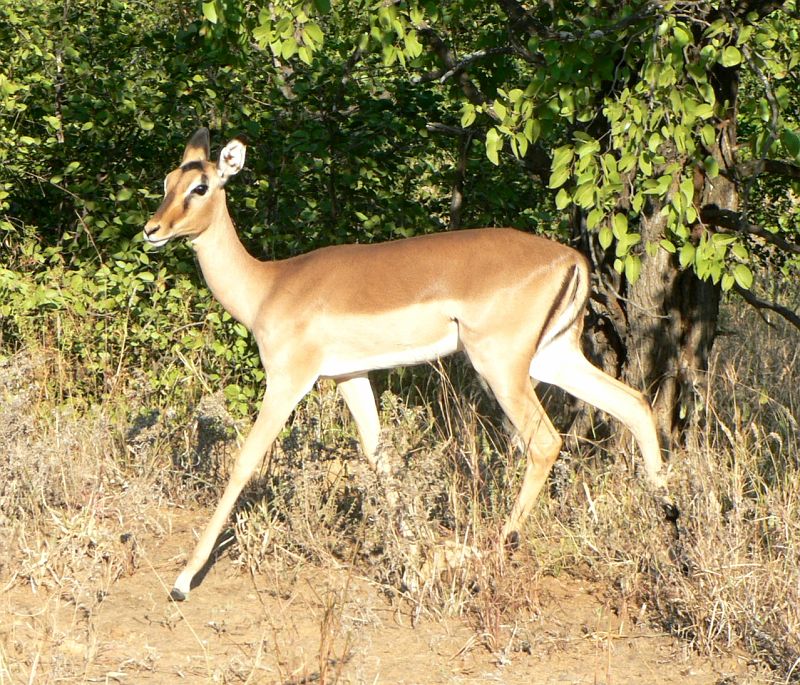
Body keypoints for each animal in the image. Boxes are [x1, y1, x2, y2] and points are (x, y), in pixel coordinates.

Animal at [143, 128, 668, 601]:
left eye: (200, 186)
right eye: (167, 179)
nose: (151, 230)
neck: (269, 286)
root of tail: (573, 258)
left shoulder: (289, 379)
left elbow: (245, 461)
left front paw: (183, 581)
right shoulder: (349, 376)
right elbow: (380, 457)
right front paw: (414, 568)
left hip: (502, 366)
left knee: (546, 440)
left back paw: (492, 550)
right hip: (554, 358)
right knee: (634, 403)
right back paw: (666, 517)